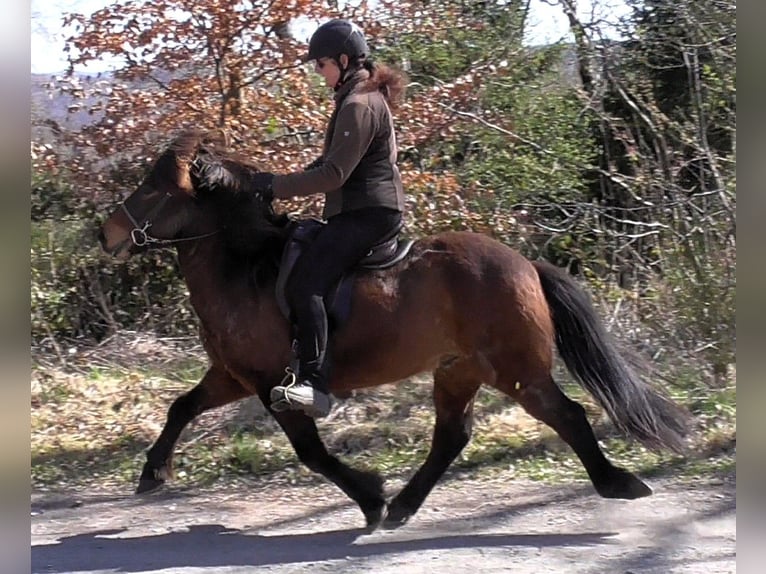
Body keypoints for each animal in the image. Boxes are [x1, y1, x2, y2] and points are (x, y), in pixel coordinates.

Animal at [98, 129, 689, 530]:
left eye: (152, 190)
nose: (107, 234)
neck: (246, 267)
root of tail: (524, 264)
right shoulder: (233, 375)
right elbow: (181, 407)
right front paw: (152, 473)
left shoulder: (270, 383)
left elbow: (311, 452)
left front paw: (369, 495)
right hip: (458, 370)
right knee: (452, 435)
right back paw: (406, 506)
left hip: (516, 370)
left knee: (565, 415)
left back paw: (616, 482)